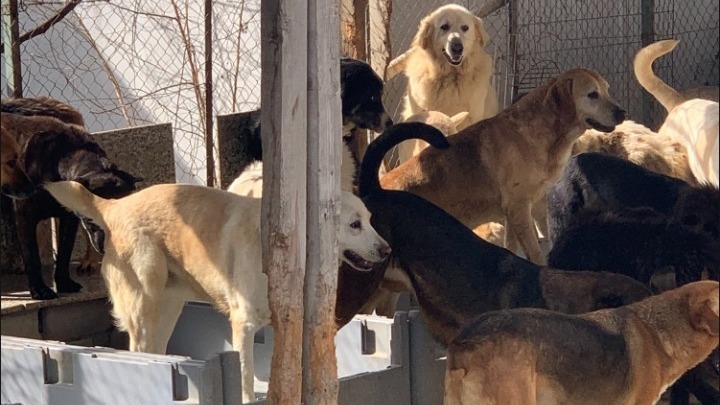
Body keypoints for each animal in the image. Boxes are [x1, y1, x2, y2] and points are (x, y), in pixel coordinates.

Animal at [46, 180, 388, 400]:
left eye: (371, 220)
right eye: (354, 224)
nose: (387, 250)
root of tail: (114, 206)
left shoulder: (288, 325)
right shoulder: (244, 324)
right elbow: (246, 376)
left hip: (168, 308)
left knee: (156, 351)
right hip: (145, 303)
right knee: (139, 352)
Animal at [382, 68, 624, 264]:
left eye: (608, 90)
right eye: (592, 94)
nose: (622, 112)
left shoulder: (527, 209)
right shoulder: (519, 208)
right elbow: (536, 254)